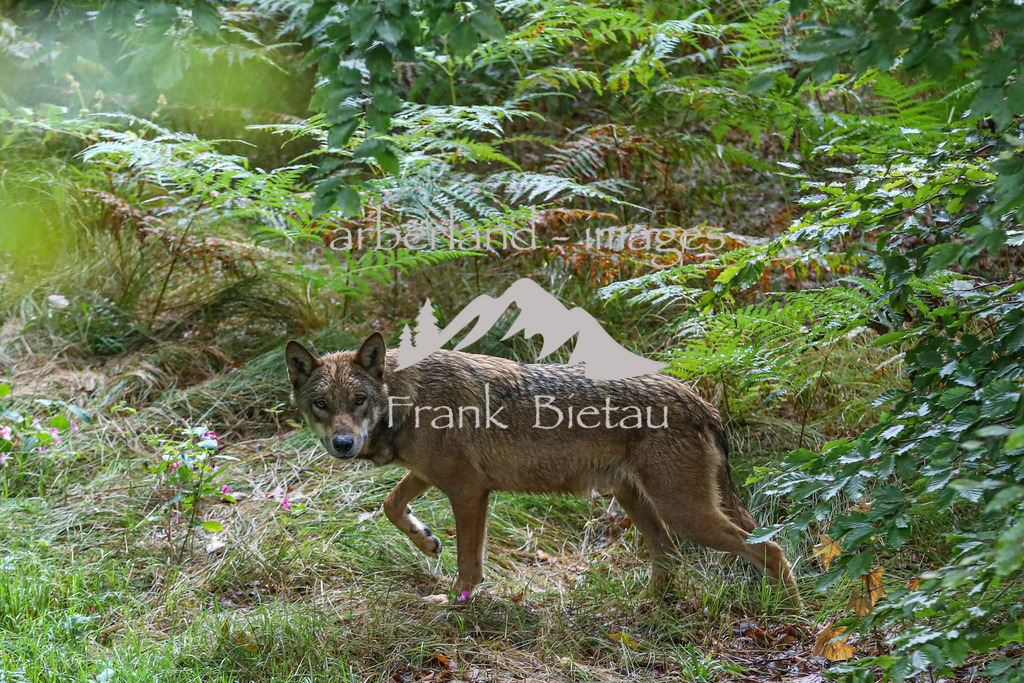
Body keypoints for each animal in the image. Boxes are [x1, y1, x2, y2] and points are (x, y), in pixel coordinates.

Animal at [285, 333, 800, 605]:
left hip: (683, 513)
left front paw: (456, 605)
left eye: (358, 400)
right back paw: (642, 609)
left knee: (770, 548)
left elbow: (468, 563)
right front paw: (426, 540)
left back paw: (789, 614)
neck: (405, 399)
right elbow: (392, 506)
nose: (343, 444)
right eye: (321, 404)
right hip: (639, 502)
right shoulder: (433, 476)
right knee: (671, 560)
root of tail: (700, 401)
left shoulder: (469, 490)